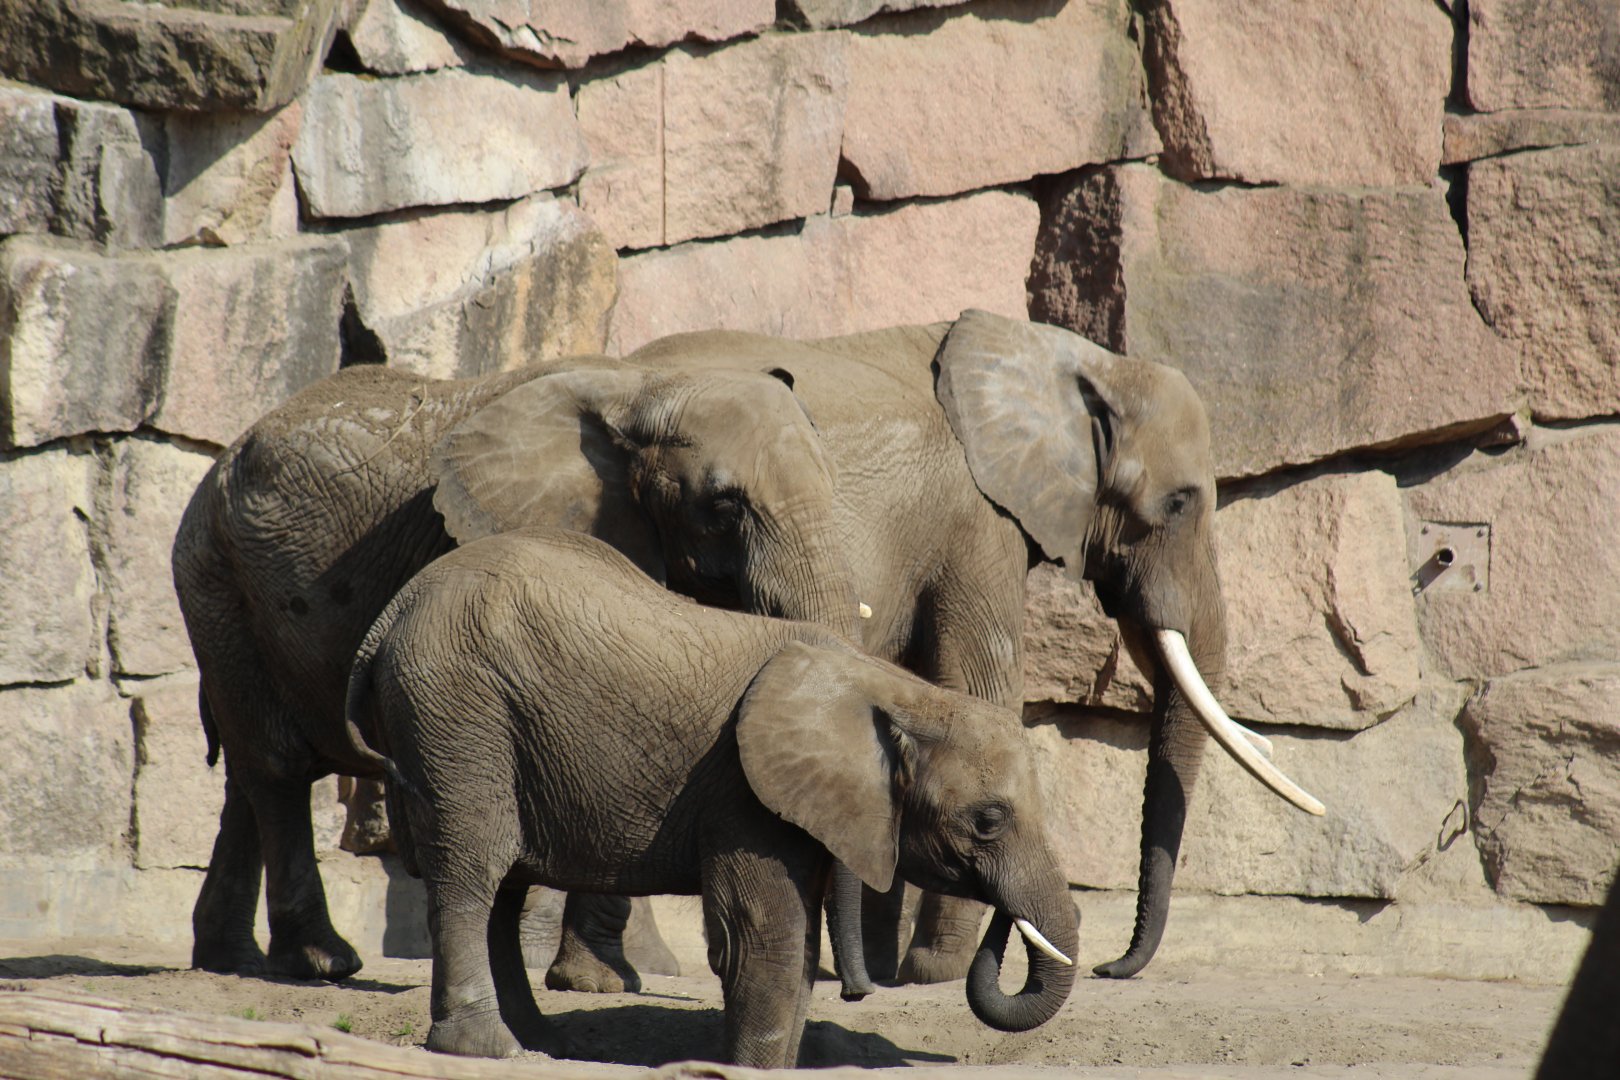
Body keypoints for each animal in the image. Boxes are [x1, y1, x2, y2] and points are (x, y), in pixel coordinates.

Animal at [171, 356, 875, 992]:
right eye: (724, 505)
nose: (853, 990)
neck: (641, 388)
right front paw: (594, 983)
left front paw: (599, 981)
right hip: (215, 576)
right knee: (278, 768)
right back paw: (322, 964)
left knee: (247, 772)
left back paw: (230, 960)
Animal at [342, 526, 1080, 1067]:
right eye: (987, 821)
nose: (861, 990)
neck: (892, 689)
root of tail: (388, 616)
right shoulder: (742, 792)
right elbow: (763, 931)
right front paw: (751, 1069)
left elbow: (794, 944)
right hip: (458, 716)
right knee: (473, 871)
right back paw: (490, 1050)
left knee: (504, 886)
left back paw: (541, 1043)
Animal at [595, 308, 1325, 981]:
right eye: (1178, 503)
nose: (1108, 968)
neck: (1071, 357)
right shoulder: (979, 519)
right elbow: (978, 690)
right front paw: (933, 972)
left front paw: (889, 970)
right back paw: (632, 974)